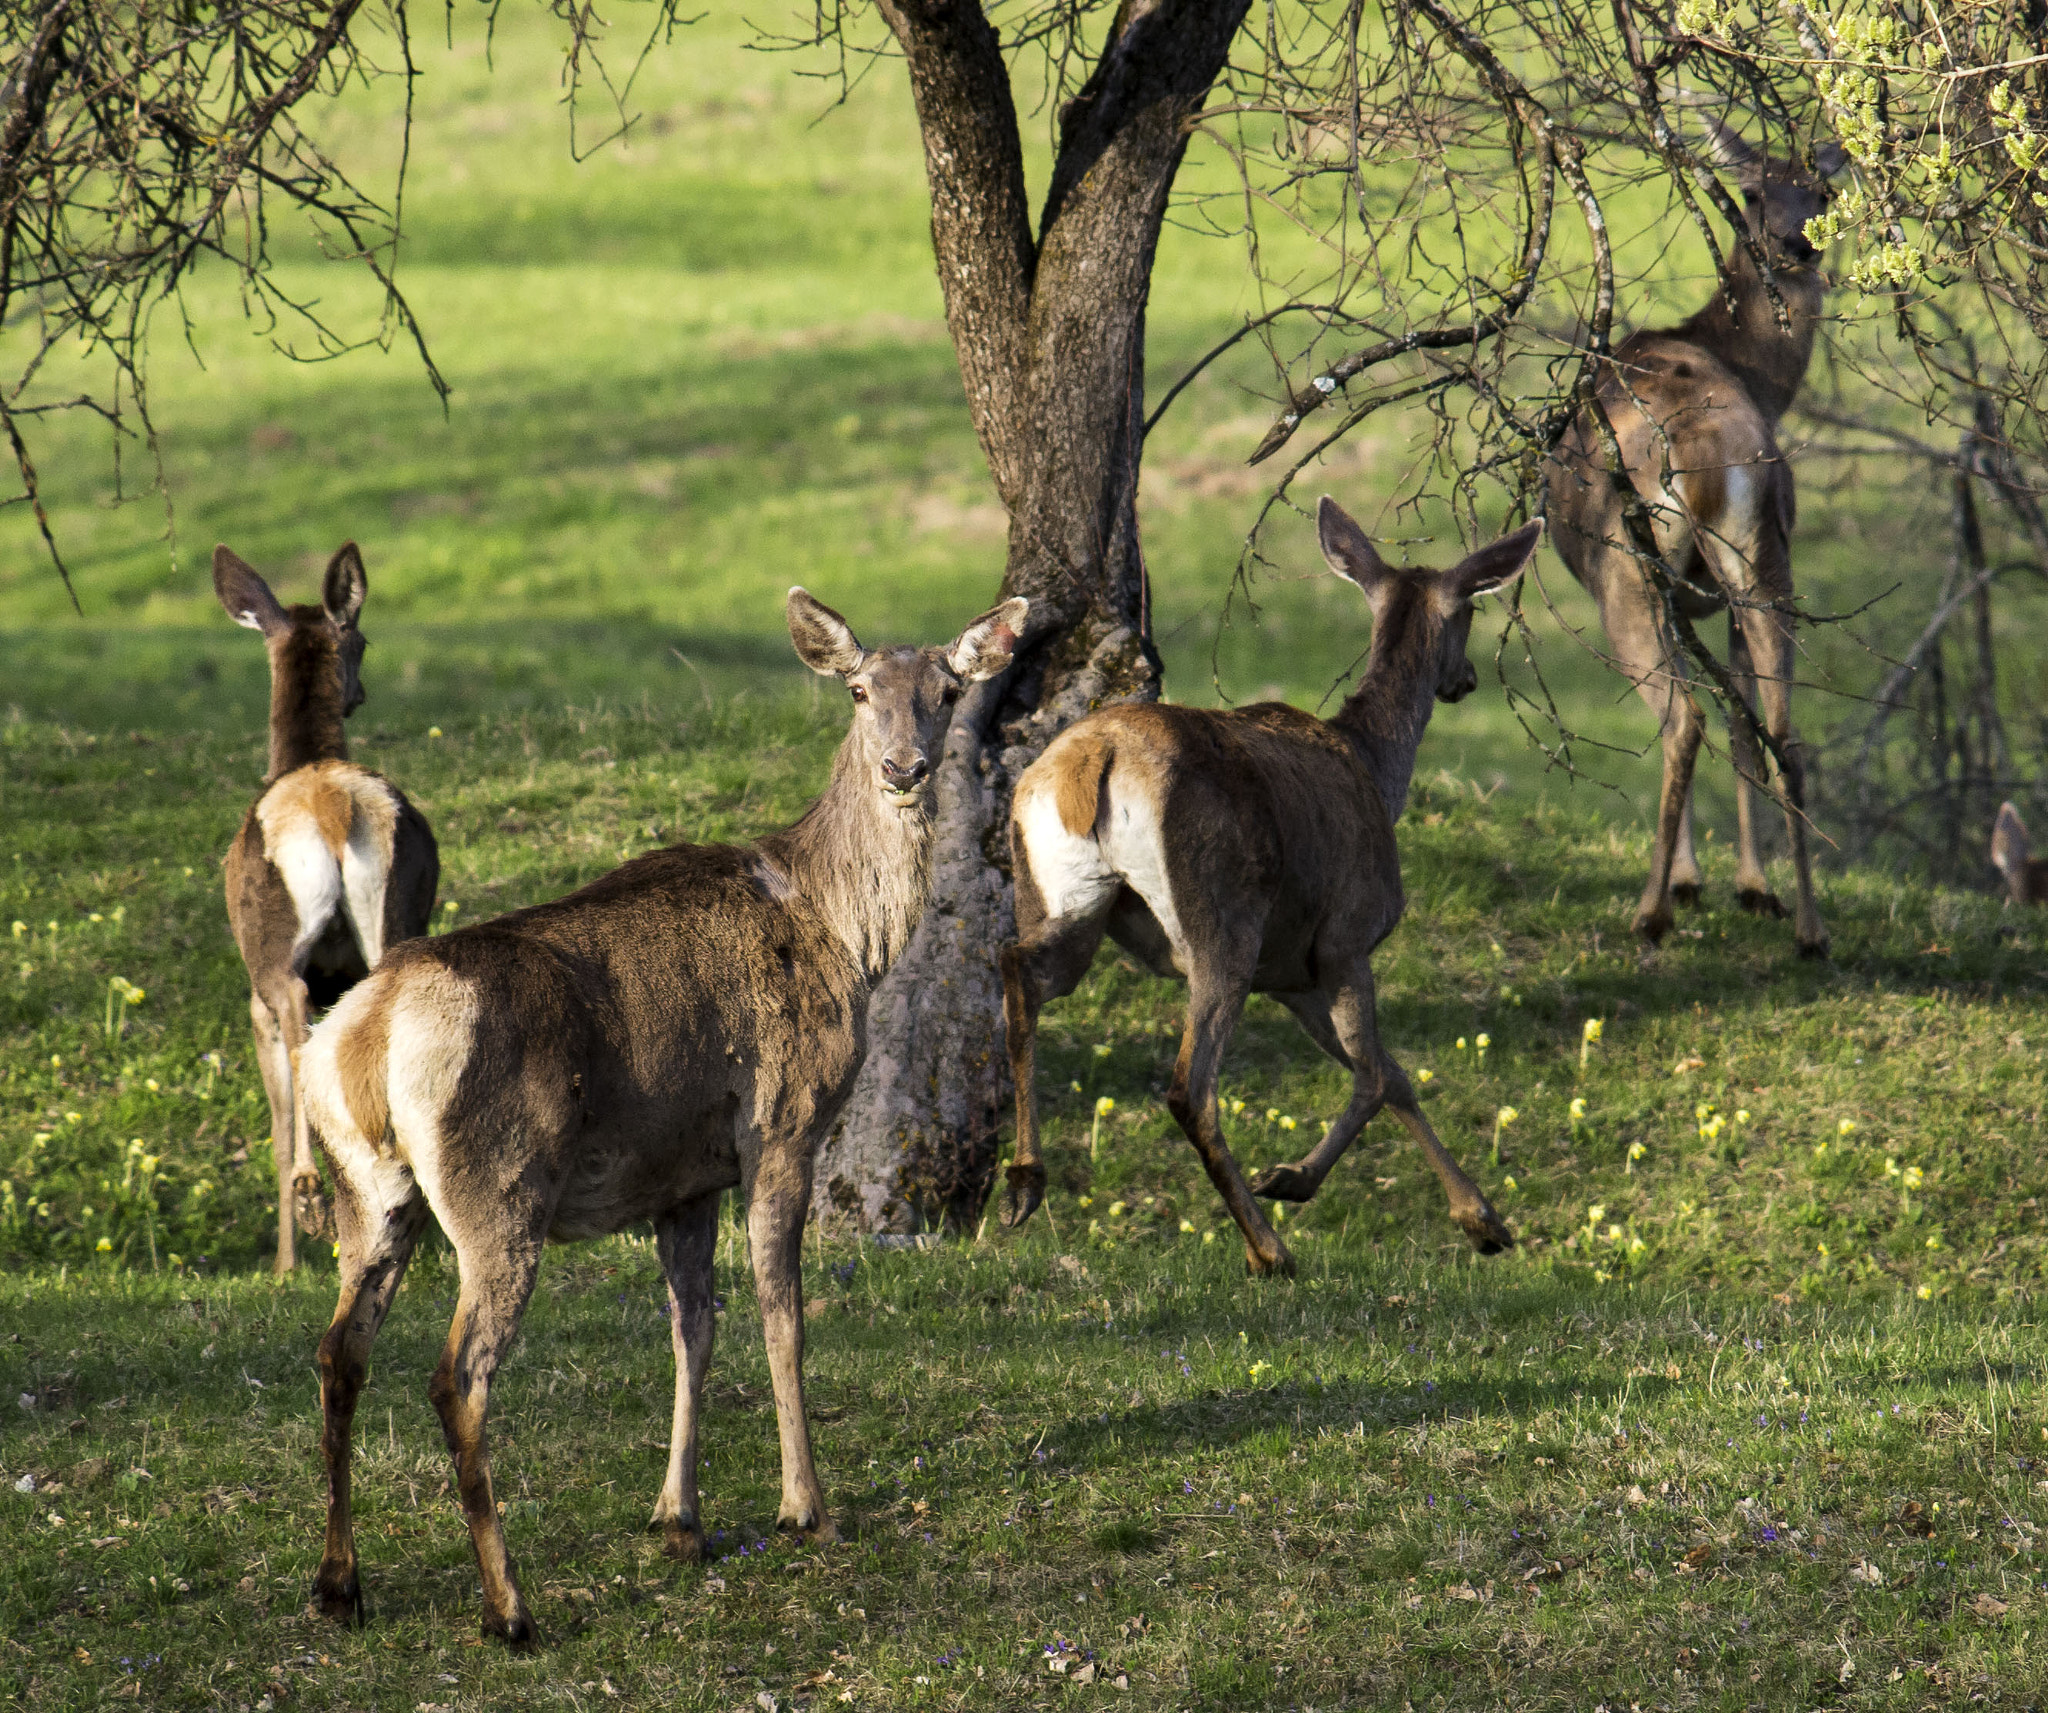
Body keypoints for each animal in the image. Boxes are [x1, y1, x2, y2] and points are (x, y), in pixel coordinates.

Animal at [214, 540, 438, 1278]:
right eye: (363, 642)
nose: (360, 691)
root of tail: (332, 808)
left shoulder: (253, 998)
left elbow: (277, 1118)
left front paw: (284, 1263)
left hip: (274, 947)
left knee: (294, 1022)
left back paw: (313, 1198)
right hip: (395, 920)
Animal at [292, 590, 1024, 1647]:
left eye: (948, 689)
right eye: (857, 691)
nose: (904, 767)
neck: (845, 934)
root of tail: (365, 1034)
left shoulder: (683, 1172)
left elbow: (694, 1327)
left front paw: (679, 1517)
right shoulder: (782, 1121)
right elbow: (783, 1311)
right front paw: (806, 1507)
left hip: (371, 1192)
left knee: (338, 1351)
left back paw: (339, 1584)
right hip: (498, 1190)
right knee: (457, 1375)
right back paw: (509, 1606)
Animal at [991, 491, 1540, 1270]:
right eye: (1469, 611)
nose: (1464, 679)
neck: (1375, 769)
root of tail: (1094, 759)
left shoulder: (1290, 972)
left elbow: (1395, 1074)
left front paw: (1484, 1220)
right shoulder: (1346, 937)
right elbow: (1375, 1074)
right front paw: (1293, 1178)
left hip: (1066, 898)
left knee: (1021, 971)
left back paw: (1023, 1183)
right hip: (1222, 916)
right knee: (1189, 1085)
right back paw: (1267, 1246)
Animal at [1540, 120, 1851, 954]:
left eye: (1823, 191)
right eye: (1752, 190)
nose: (1797, 245)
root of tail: (1711, 453)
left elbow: (1695, 719)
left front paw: (1694, 879)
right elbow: (1748, 729)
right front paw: (1754, 886)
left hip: (1628, 569)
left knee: (1683, 720)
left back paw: (1651, 910)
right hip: (1766, 561)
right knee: (1783, 731)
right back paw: (1810, 928)